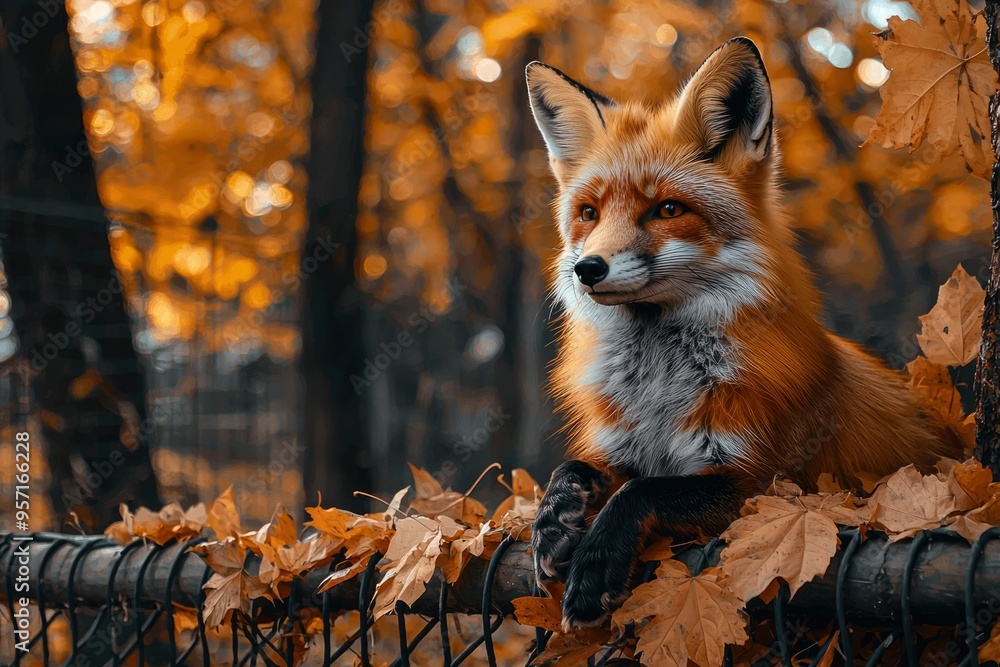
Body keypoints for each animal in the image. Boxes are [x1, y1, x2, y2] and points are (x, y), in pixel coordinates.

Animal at [525, 37, 963, 630]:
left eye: (667, 209)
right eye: (588, 213)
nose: (587, 268)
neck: (658, 385)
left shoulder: (765, 485)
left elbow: (640, 492)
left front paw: (594, 567)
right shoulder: (622, 445)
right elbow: (575, 468)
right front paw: (552, 521)